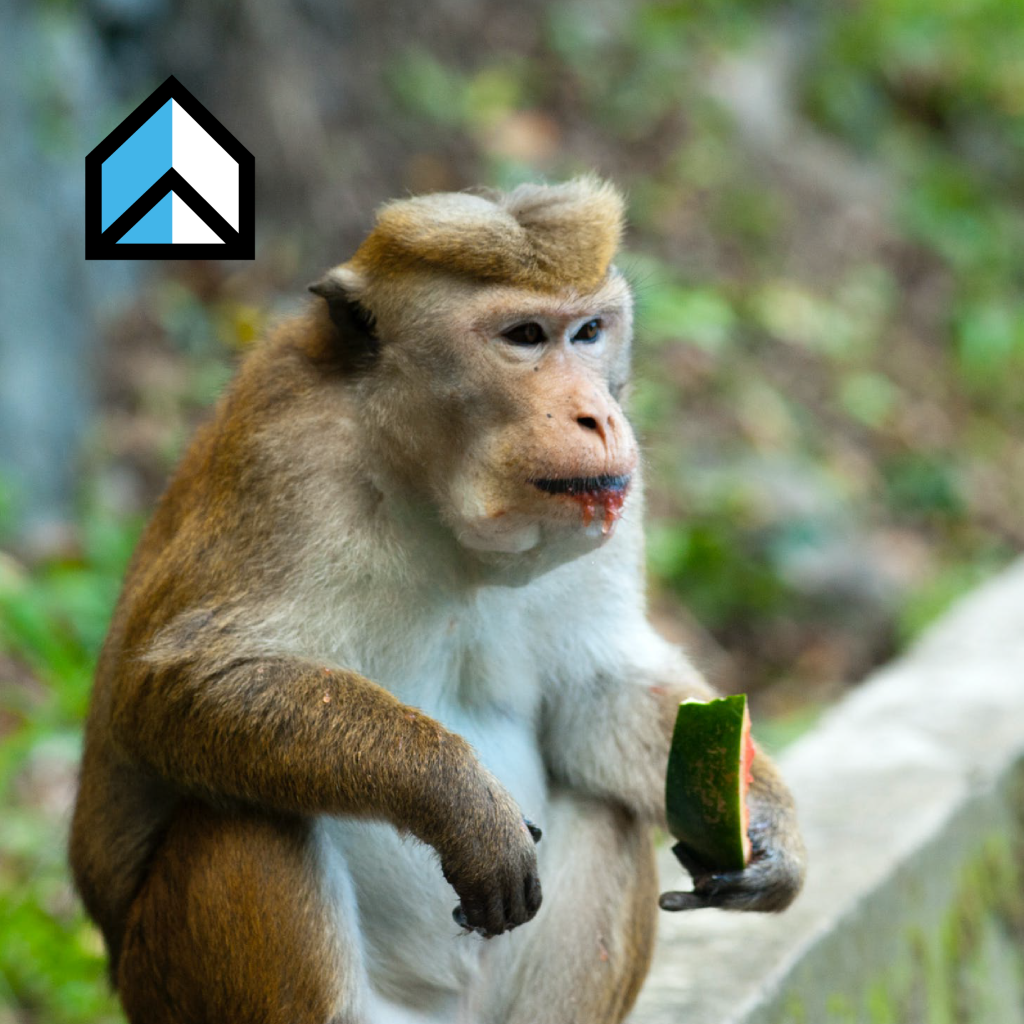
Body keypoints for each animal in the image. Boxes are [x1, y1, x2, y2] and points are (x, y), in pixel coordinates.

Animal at [69, 177, 805, 1024]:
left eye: (589, 332)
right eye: (525, 336)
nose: (599, 415)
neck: (428, 488)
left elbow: (598, 689)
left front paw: (768, 824)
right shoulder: (287, 456)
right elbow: (178, 685)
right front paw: (458, 798)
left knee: (608, 809)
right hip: (173, 983)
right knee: (246, 817)